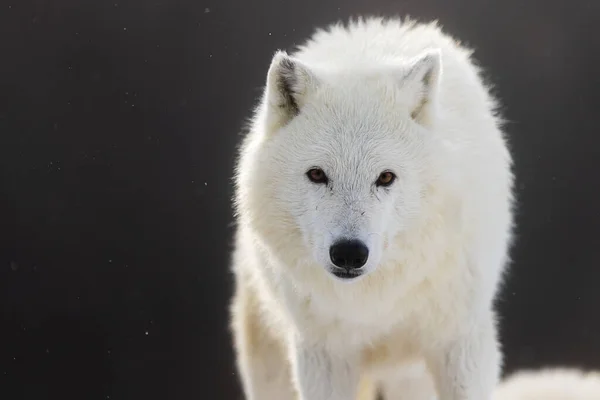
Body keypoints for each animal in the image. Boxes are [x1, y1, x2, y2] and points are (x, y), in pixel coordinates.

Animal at [232, 16, 512, 400]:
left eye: (386, 177)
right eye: (317, 174)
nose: (349, 253)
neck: (375, 304)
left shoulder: (461, 340)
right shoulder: (323, 356)